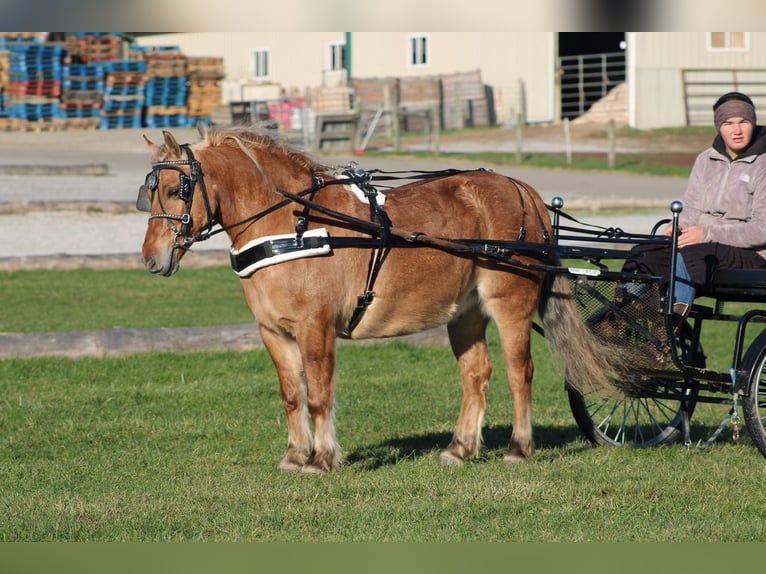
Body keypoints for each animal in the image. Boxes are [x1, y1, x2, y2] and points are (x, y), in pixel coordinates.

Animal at [138, 126, 617, 473]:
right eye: (149, 192)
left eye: (177, 189)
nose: (151, 258)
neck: (292, 224)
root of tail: (522, 190)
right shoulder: (272, 331)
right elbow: (292, 394)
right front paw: (295, 456)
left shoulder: (315, 327)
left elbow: (319, 394)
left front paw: (322, 459)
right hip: (465, 313)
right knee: (476, 375)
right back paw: (459, 448)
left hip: (509, 305)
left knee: (521, 373)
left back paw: (519, 447)